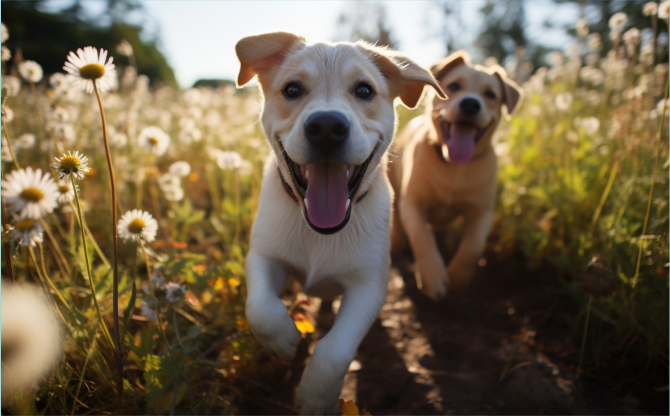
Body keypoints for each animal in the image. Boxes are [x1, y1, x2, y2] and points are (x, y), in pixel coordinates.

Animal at [236, 31, 446, 412]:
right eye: (292, 89)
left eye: (364, 90)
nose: (326, 127)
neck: (320, 232)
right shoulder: (263, 256)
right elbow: (260, 308)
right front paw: (285, 340)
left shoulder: (369, 286)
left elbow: (334, 350)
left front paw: (314, 398)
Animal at [388, 51, 524, 300]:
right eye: (453, 86)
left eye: (490, 94)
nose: (470, 103)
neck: (453, 166)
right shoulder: (412, 203)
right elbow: (422, 236)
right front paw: (433, 275)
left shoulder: (483, 211)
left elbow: (473, 246)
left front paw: (458, 280)